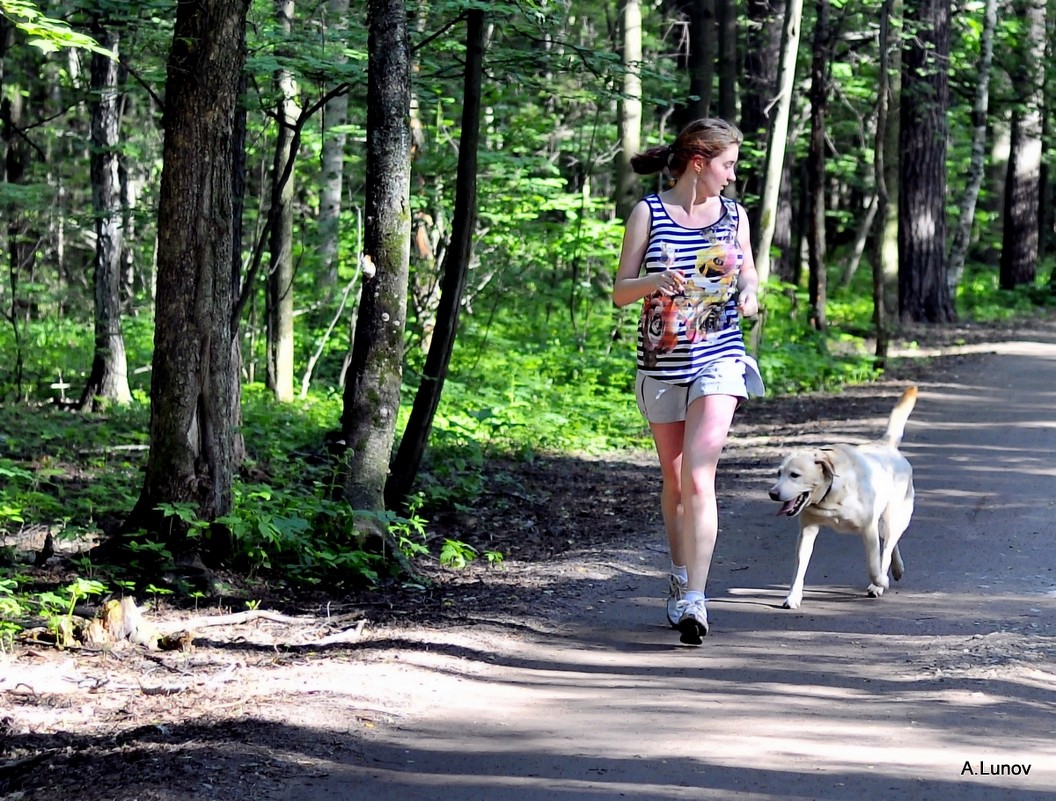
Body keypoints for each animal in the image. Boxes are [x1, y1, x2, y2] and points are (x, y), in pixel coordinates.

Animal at [768, 386, 916, 607]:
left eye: (794, 475)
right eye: (779, 473)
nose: (772, 493)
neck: (830, 495)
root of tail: (886, 445)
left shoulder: (868, 529)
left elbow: (874, 566)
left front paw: (880, 581)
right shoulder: (807, 531)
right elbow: (799, 568)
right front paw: (793, 597)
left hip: (894, 516)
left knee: (888, 546)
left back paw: (882, 581)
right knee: (891, 544)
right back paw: (897, 569)